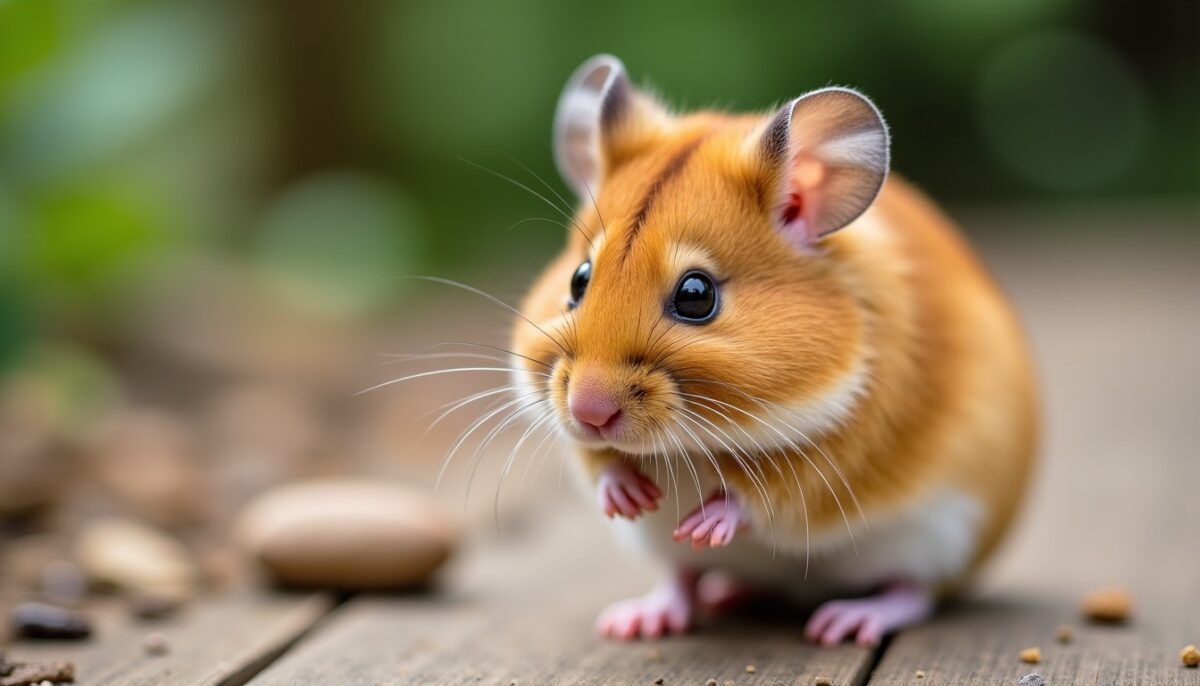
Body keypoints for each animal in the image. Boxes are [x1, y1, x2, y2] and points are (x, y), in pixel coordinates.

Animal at [510, 55, 1037, 645]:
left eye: (696, 295)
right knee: (681, 577)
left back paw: (844, 622)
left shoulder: (840, 450)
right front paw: (631, 498)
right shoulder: (580, 438)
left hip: (943, 538)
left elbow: (759, 493)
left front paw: (702, 525)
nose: (589, 412)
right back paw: (646, 617)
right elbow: (599, 462)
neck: (693, 443)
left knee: (915, 592)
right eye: (578, 279)